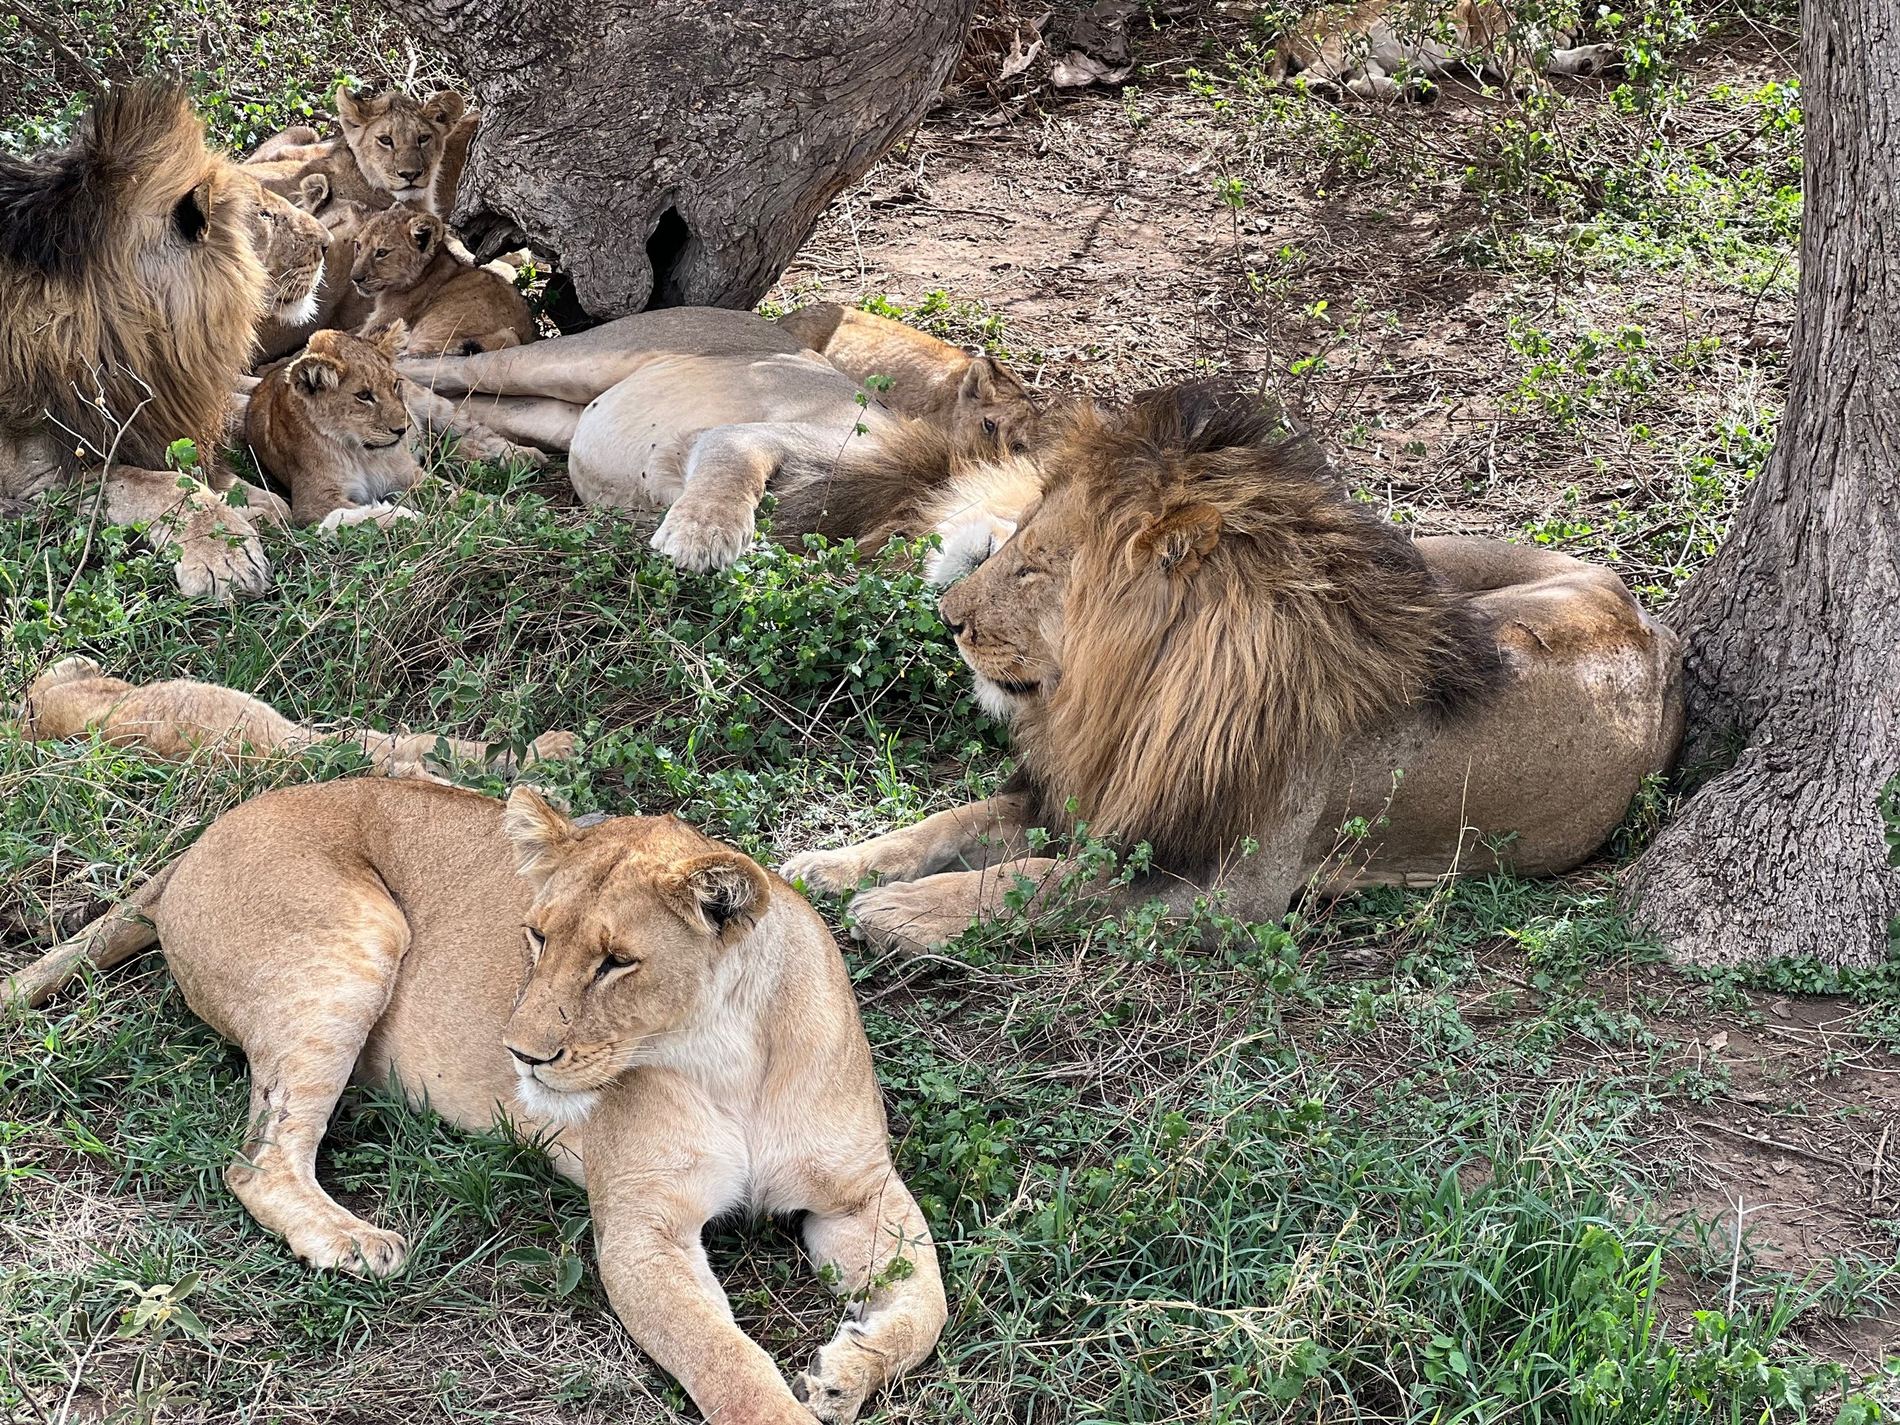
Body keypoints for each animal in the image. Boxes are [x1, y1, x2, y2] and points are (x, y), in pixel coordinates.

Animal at [3, 780, 947, 1425]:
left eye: (617, 961)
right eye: (534, 934)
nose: (520, 1052)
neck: (729, 1057)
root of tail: (207, 832)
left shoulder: (861, 1190)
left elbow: (929, 1302)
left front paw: (848, 1368)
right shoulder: (642, 1227)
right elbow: (723, 1356)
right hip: (356, 938)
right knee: (258, 1160)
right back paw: (355, 1242)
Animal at [246, 323, 430, 528]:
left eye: (396, 384)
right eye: (364, 395)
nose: (404, 429)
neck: (362, 454)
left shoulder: (410, 474)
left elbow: (445, 491)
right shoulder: (311, 502)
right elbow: (368, 515)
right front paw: (410, 515)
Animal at [395, 307, 1041, 572]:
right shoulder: (759, 434)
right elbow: (728, 471)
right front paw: (699, 538)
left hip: (561, 413)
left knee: (487, 405)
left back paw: (492, 452)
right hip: (578, 357)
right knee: (438, 367)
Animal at [781, 384, 1684, 952]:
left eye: (1034, 569)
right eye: (1016, 549)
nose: (950, 618)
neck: (1139, 698)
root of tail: (1654, 623)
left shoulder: (1232, 890)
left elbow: (1039, 882)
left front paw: (900, 911)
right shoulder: (1095, 798)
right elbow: (948, 823)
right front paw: (831, 864)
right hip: (1430, 557)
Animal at [1272, 0, 1614, 99]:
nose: (1580, 30)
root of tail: (1288, 32)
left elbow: (1559, 58)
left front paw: (1595, 56)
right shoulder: (1496, 44)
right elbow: (1528, 67)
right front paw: (1538, 89)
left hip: (1367, 60)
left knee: (1359, 83)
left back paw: (1418, 91)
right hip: (1341, 44)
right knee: (1298, 79)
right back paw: (1323, 90)